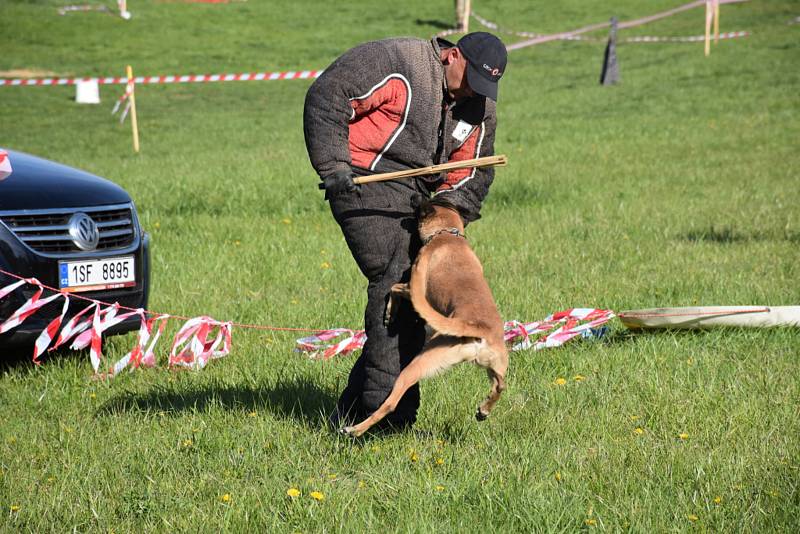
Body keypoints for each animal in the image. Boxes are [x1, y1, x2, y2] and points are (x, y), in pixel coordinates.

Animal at [342, 195, 506, 438]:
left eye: (424, 202)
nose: (415, 196)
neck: (447, 234)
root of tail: (476, 329)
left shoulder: (413, 285)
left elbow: (394, 287)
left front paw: (390, 313)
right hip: (496, 364)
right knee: (501, 385)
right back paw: (484, 410)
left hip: (418, 365)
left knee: (390, 403)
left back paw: (355, 429)